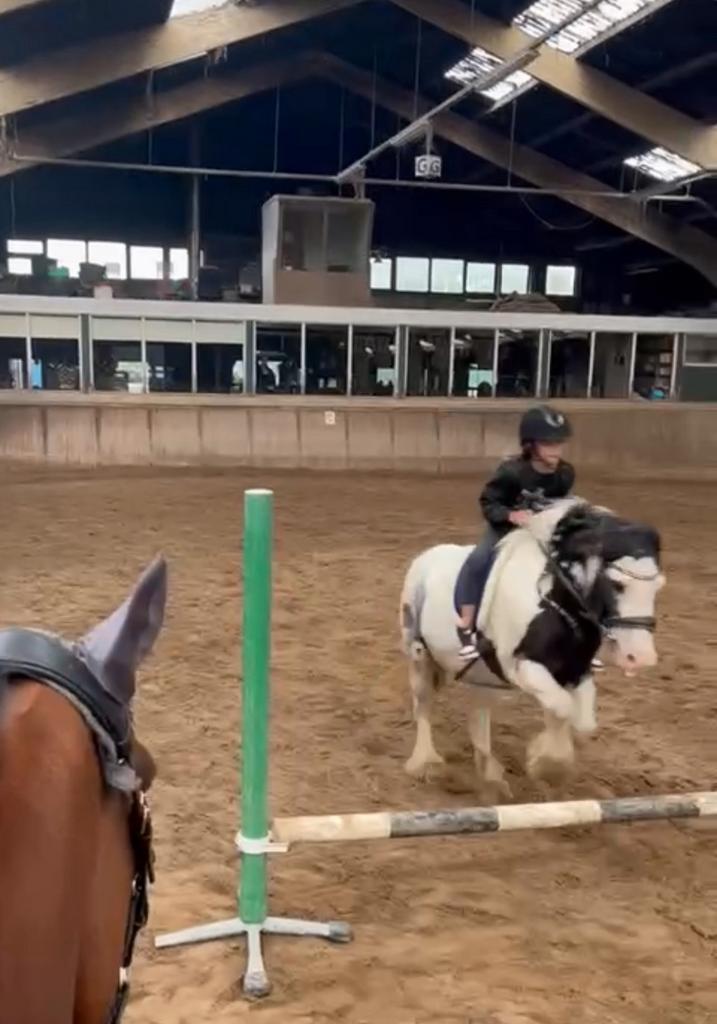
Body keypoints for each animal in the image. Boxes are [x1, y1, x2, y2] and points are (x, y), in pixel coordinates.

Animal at [399, 499, 664, 796]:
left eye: (658, 586)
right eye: (618, 584)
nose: (640, 657)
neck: (554, 604)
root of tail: (425, 557)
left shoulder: (575, 671)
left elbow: (580, 720)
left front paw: (549, 761)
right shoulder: (524, 667)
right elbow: (561, 707)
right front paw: (546, 765)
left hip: (482, 675)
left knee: (480, 713)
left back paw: (490, 775)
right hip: (419, 655)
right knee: (423, 704)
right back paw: (426, 764)